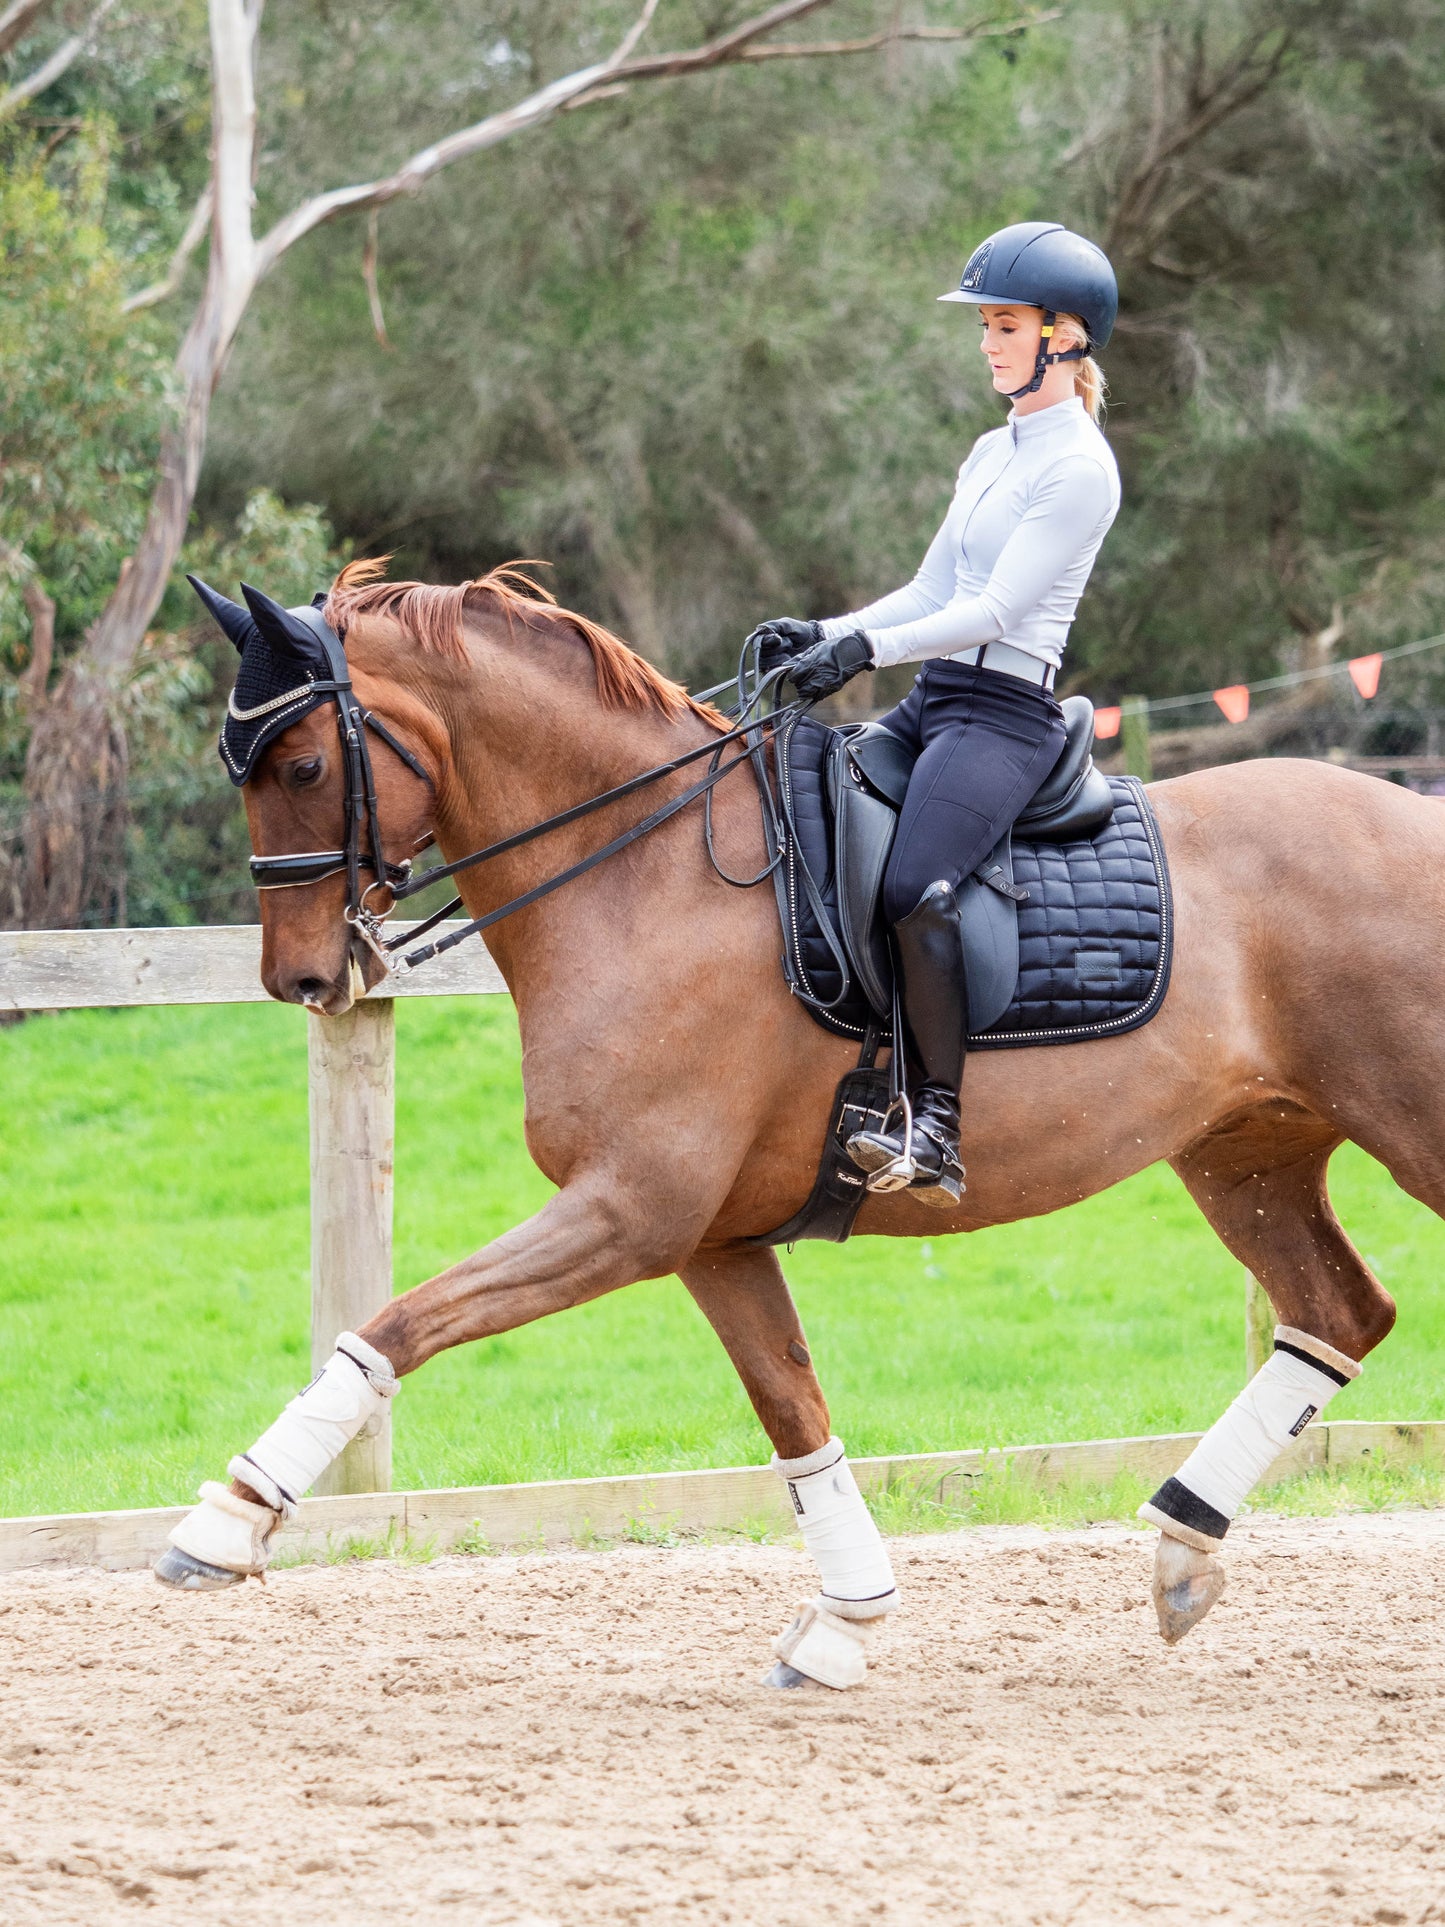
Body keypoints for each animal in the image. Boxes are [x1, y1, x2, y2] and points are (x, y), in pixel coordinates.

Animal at [232, 562, 1441, 1657]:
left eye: (302, 763)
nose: (299, 978)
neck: (645, 874)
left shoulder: (628, 1211)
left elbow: (403, 1320)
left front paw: (230, 1516)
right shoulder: (708, 1238)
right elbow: (793, 1411)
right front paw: (847, 1619)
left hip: (1404, 1129)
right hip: (1245, 1154)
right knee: (1337, 1313)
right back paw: (1181, 1546)